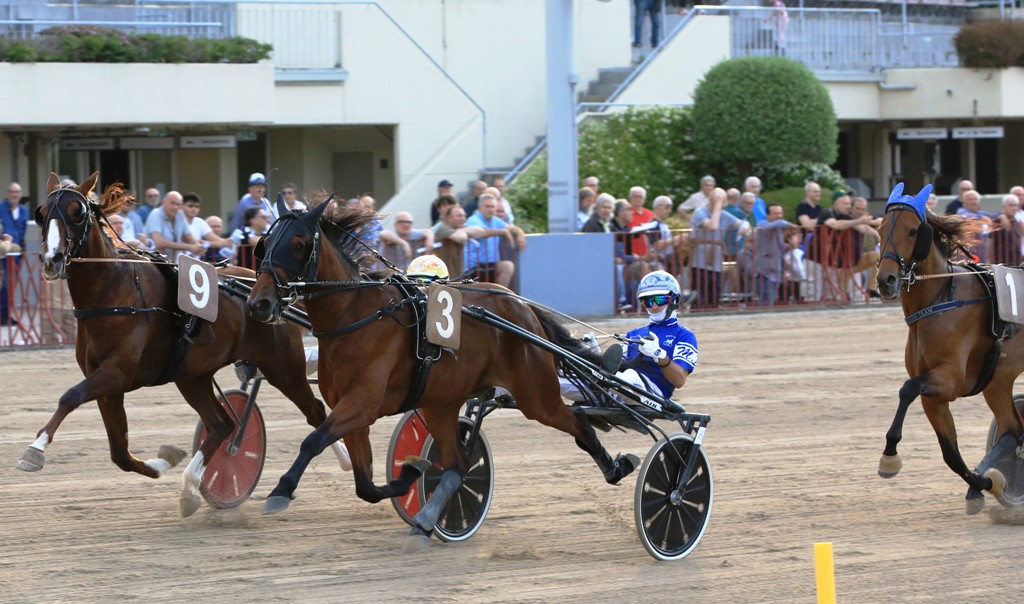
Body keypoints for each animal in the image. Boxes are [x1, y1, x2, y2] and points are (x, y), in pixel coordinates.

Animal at [18, 173, 348, 518]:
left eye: (77, 212)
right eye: (42, 213)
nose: (52, 260)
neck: (113, 291)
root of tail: (269, 291)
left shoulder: (117, 372)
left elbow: (70, 396)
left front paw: (34, 450)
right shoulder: (109, 384)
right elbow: (120, 454)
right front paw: (166, 460)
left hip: (282, 367)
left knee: (316, 411)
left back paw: (342, 461)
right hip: (192, 376)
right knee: (222, 424)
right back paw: (190, 489)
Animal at [872, 182, 1024, 513]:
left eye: (913, 231)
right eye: (880, 229)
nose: (886, 280)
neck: (942, 299)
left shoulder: (951, 379)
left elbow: (907, 389)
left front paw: (889, 457)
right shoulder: (936, 396)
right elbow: (950, 454)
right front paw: (984, 484)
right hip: (998, 382)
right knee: (1012, 431)